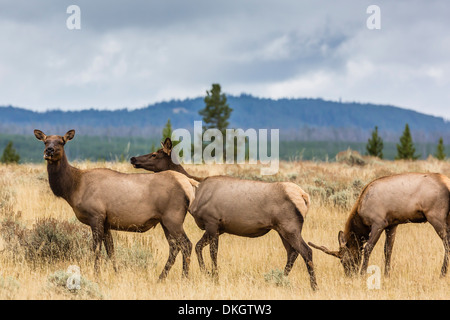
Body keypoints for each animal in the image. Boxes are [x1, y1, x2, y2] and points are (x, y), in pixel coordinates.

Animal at [33, 130, 199, 280]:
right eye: (45, 141)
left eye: (61, 142)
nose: (49, 150)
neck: (73, 188)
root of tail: (188, 182)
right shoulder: (107, 222)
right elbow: (111, 250)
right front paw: (116, 273)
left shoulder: (96, 215)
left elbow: (96, 250)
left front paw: (96, 275)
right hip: (165, 221)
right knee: (174, 246)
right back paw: (161, 277)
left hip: (173, 218)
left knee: (186, 244)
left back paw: (184, 277)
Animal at [130, 138, 318, 290]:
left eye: (155, 154)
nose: (133, 158)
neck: (195, 193)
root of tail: (304, 196)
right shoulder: (218, 227)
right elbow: (199, 247)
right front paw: (207, 272)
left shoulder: (212, 221)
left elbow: (212, 252)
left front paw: (214, 276)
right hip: (281, 229)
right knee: (292, 252)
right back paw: (279, 280)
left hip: (290, 226)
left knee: (306, 251)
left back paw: (314, 286)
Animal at [310, 172, 450, 278]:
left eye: (344, 260)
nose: (349, 275)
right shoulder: (392, 224)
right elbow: (388, 250)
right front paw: (387, 274)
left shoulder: (378, 223)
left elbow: (368, 248)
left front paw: (362, 274)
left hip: (436, 216)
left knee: (447, 243)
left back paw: (442, 273)